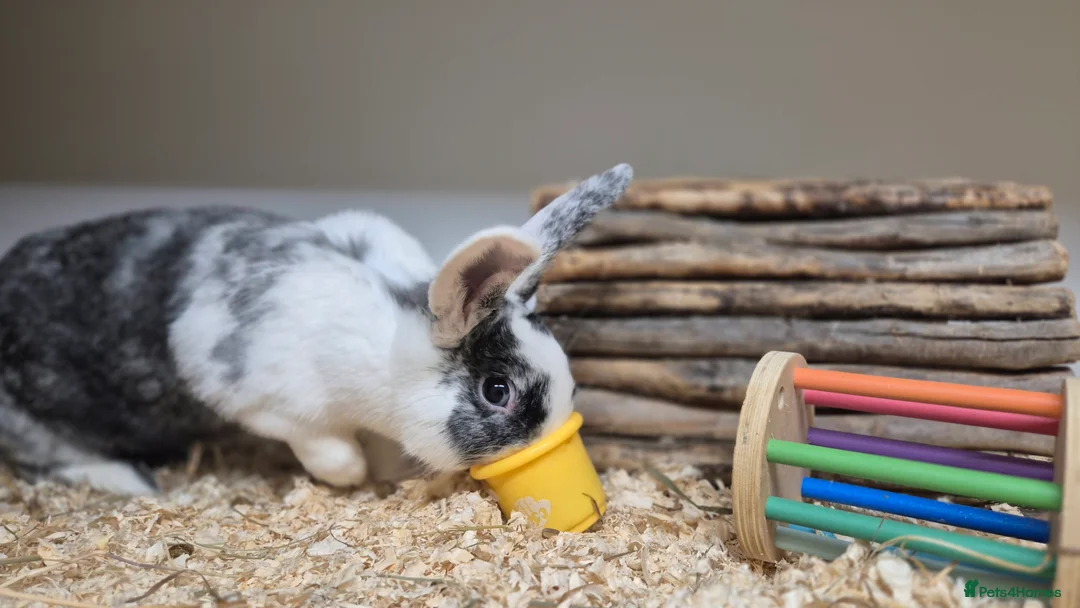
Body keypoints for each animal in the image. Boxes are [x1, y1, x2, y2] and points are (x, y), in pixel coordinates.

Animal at [0, 164, 633, 495]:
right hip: (35, 424)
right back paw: (129, 480)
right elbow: (334, 456)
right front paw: (357, 478)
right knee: (50, 456)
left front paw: (389, 476)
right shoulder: (275, 403)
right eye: (496, 391)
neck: (386, 356)